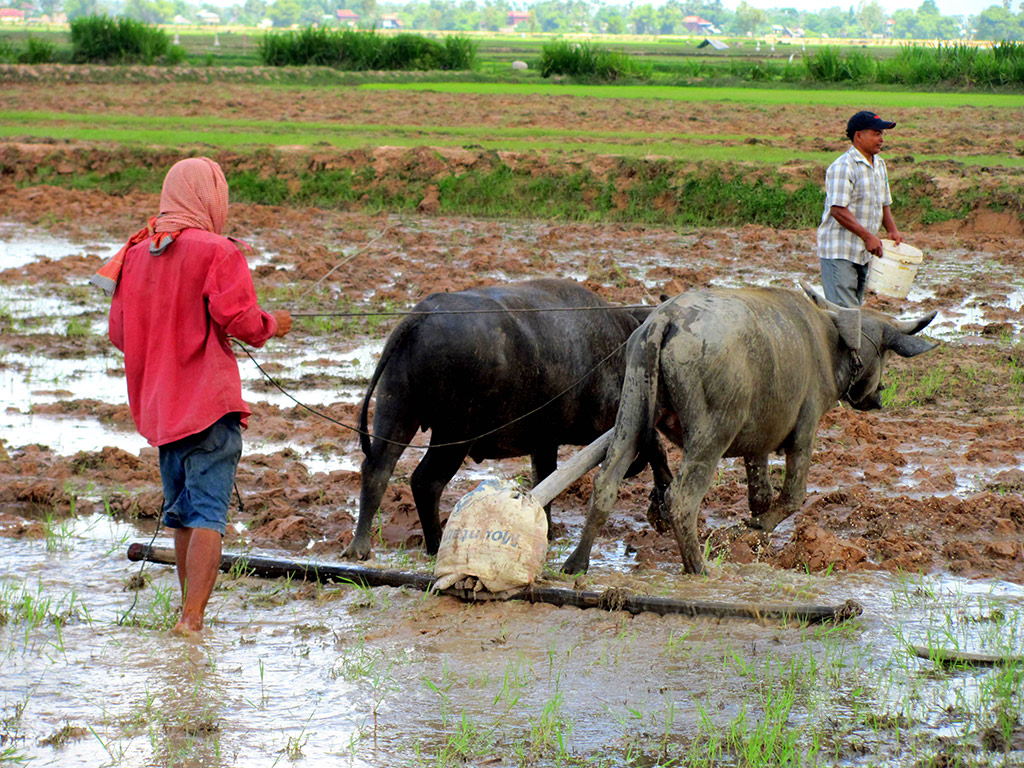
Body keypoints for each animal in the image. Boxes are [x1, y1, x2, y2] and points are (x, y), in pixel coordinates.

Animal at [343, 278, 671, 560]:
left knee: (377, 470)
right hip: (453, 434)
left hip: (396, 412)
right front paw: (663, 502)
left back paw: (360, 547)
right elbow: (653, 445)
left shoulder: (545, 441)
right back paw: (435, 544)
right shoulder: (613, 419)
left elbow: (544, 478)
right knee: (426, 481)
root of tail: (420, 317)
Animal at [562, 281, 938, 575]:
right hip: (711, 436)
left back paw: (577, 562)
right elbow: (792, 496)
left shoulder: (757, 446)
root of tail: (667, 319)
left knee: (606, 480)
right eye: (885, 354)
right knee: (681, 498)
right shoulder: (804, 432)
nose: (878, 395)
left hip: (631, 412)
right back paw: (696, 567)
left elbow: (760, 496)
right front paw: (757, 528)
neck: (828, 341)